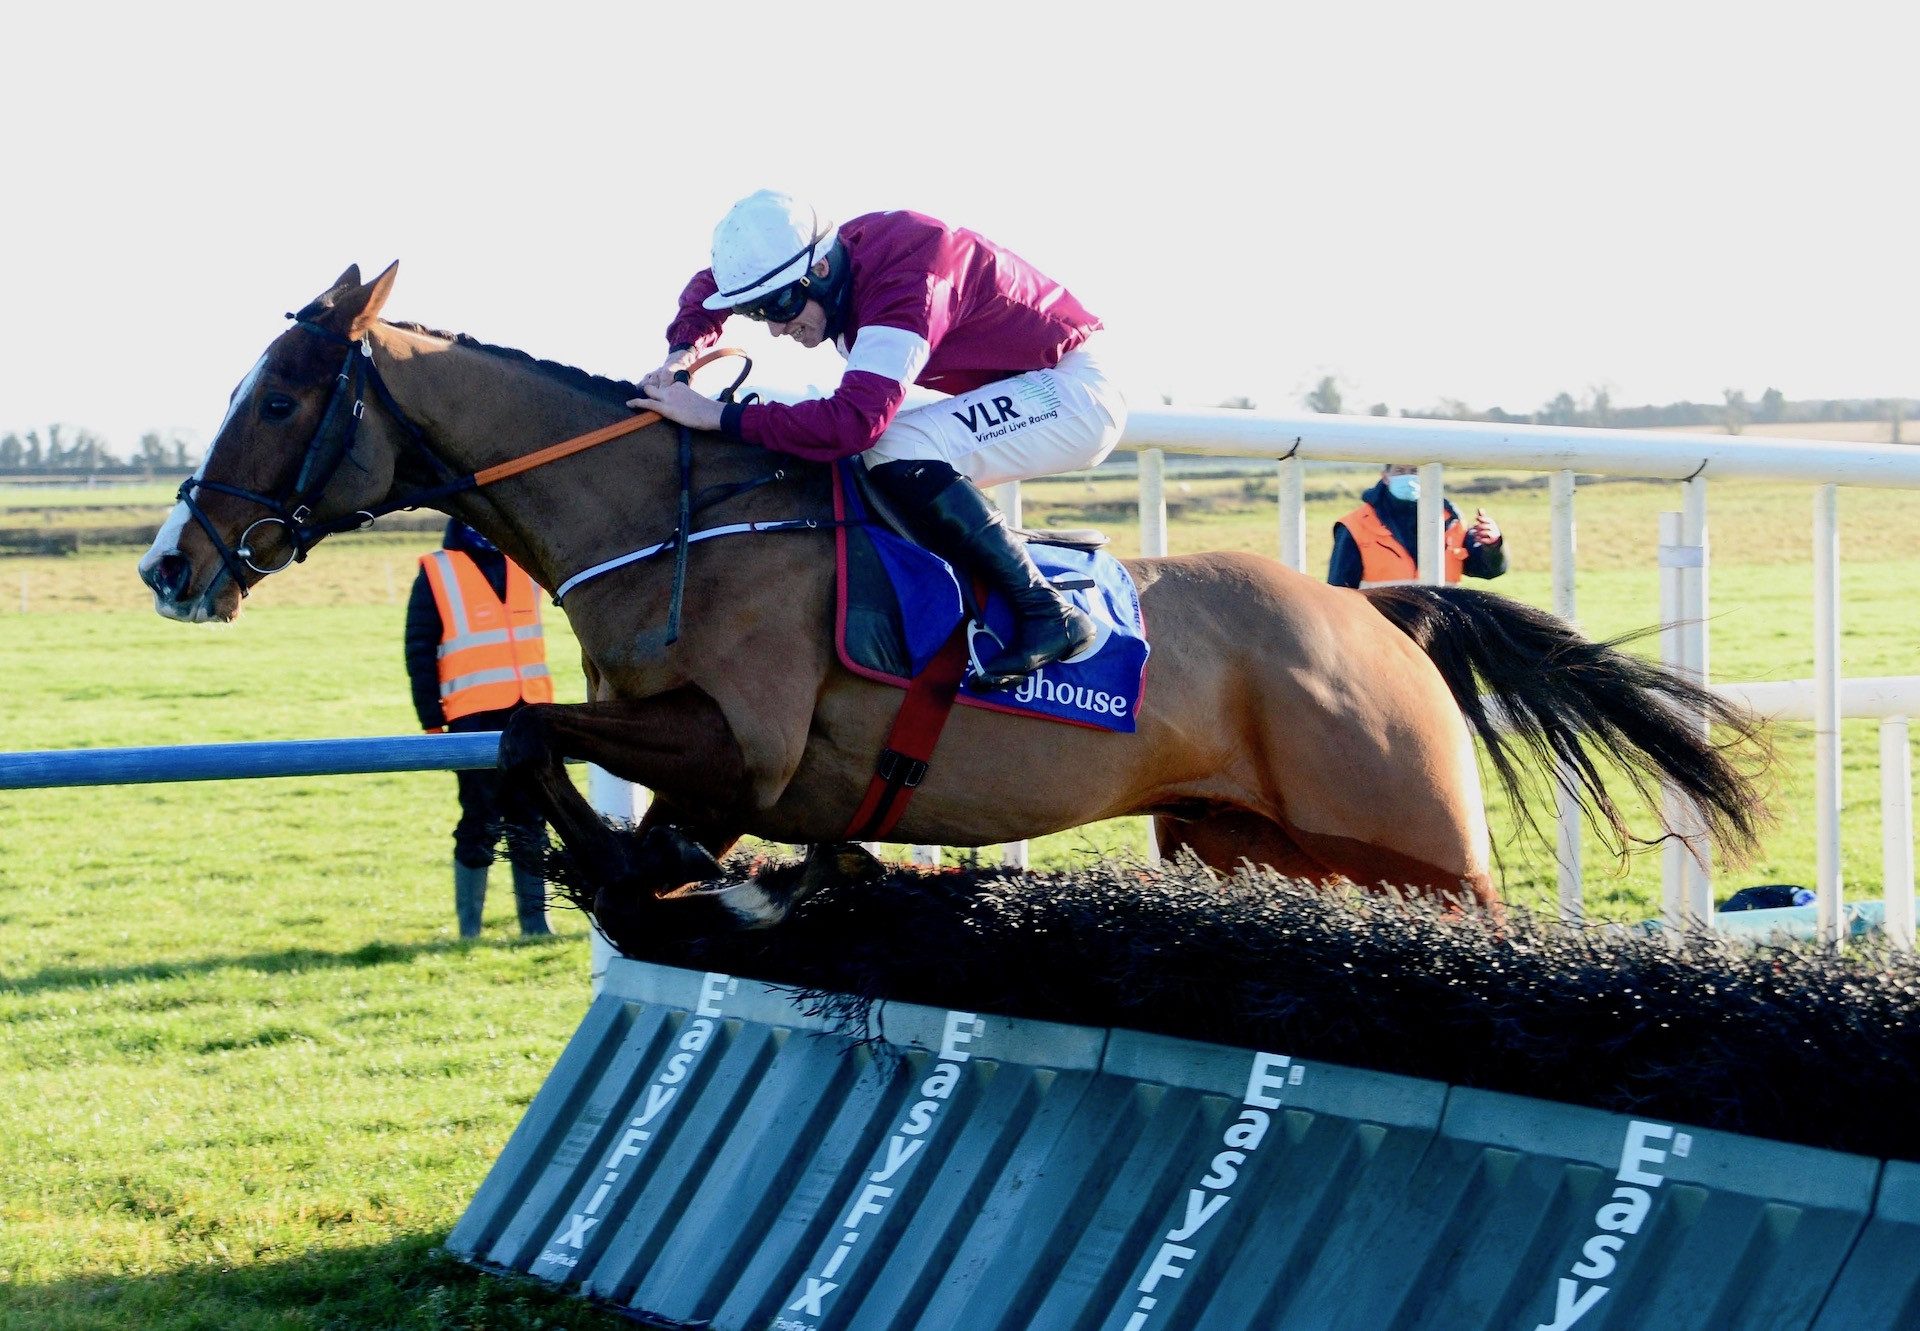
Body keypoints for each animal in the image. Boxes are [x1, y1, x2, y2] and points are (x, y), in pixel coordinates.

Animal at [135, 265, 1758, 941]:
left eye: (278, 395)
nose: (170, 563)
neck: (670, 515)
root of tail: (1380, 618)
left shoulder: (746, 742)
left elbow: (543, 737)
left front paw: (679, 875)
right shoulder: (687, 742)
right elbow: (533, 743)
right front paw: (679, 873)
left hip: (1415, 840)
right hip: (1246, 842)